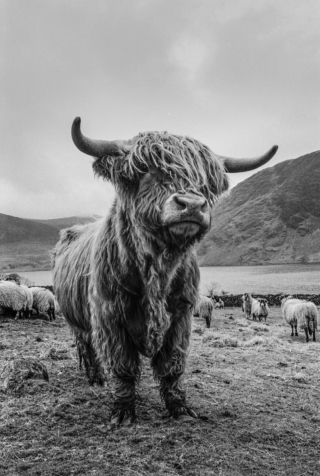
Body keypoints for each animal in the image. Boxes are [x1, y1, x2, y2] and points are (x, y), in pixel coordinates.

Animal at [52, 118, 278, 424]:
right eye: (147, 171)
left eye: (206, 182)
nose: (192, 205)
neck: (157, 269)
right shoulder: (110, 317)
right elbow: (122, 367)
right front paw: (123, 412)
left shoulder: (181, 315)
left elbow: (173, 366)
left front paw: (179, 409)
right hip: (76, 320)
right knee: (87, 348)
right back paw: (96, 379)